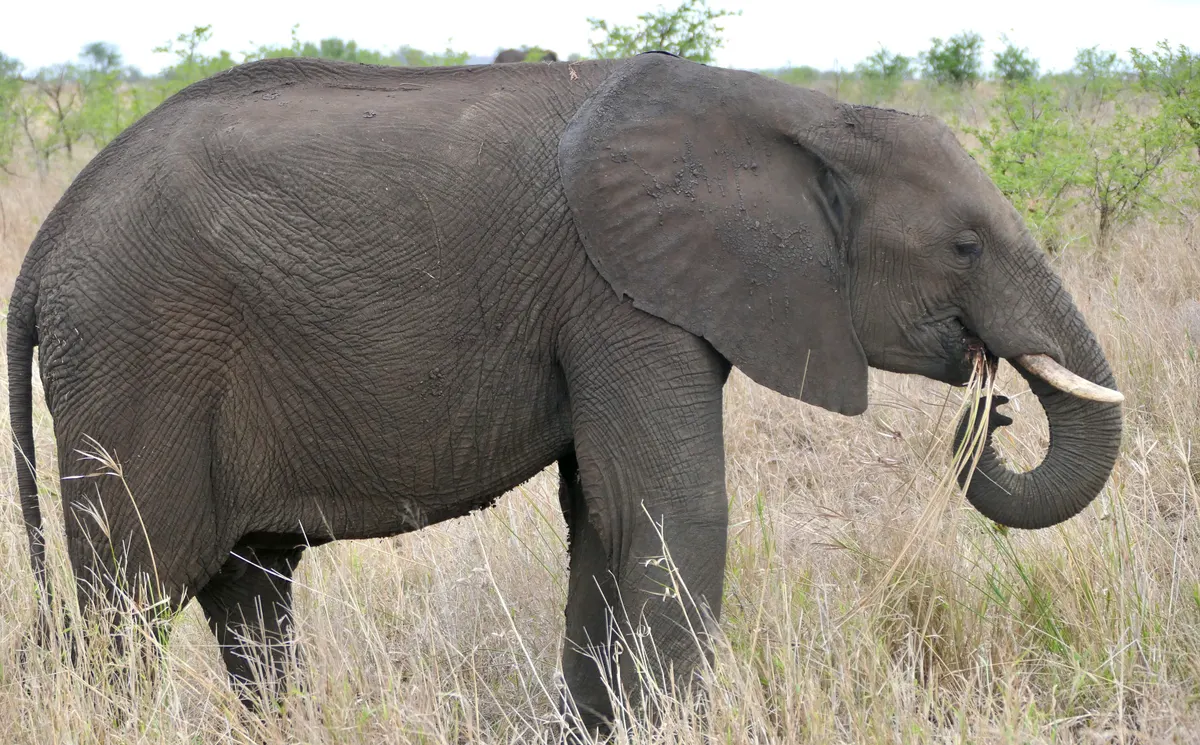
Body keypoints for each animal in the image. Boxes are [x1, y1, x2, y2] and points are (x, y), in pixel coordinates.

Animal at [7, 53, 1123, 732]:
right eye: (965, 246)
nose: (993, 401)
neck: (791, 113)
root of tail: (48, 244)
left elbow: (601, 516)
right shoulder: (619, 296)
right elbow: (669, 510)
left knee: (249, 592)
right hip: (136, 355)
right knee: (125, 597)